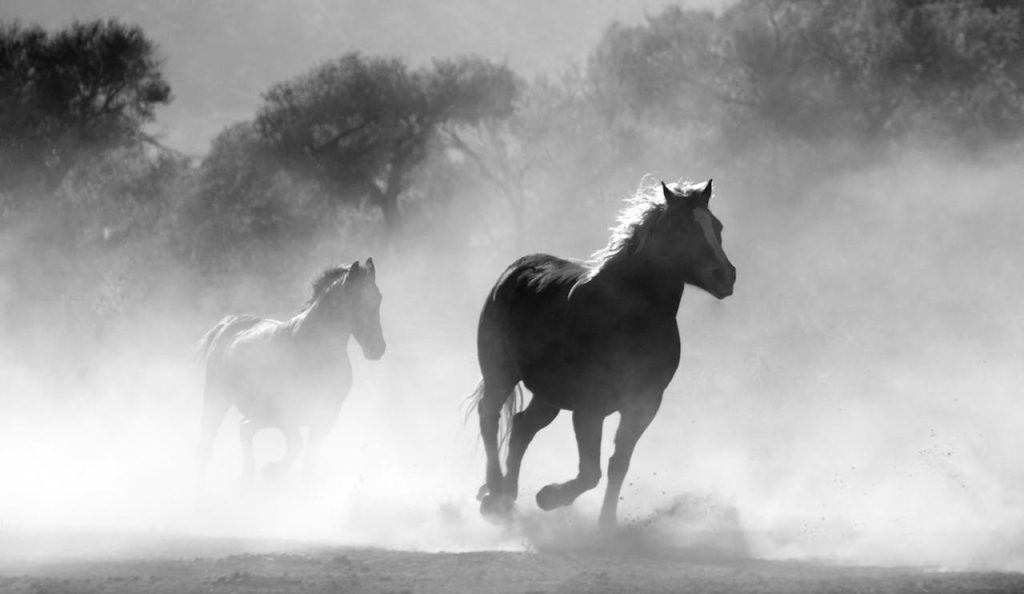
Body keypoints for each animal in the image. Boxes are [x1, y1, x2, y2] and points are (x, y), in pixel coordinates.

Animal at [192, 259, 385, 487]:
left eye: (378, 298)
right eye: (355, 300)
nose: (377, 348)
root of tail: (227, 325)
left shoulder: (325, 416)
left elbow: (309, 460)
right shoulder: (286, 413)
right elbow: (296, 444)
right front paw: (272, 471)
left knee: (244, 429)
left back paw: (247, 477)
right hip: (217, 399)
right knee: (208, 441)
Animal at [471, 178, 737, 528]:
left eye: (717, 226)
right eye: (682, 228)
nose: (726, 276)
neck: (628, 316)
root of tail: (514, 271)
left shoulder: (644, 404)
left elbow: (617, 464)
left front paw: (606, 525)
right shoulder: (589, 408)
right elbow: (590, 472)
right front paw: (548, 497)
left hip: (549, 394)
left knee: (521, 426)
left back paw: (507, 496)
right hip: (500, 373)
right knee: (490, 416)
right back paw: (494, 494)